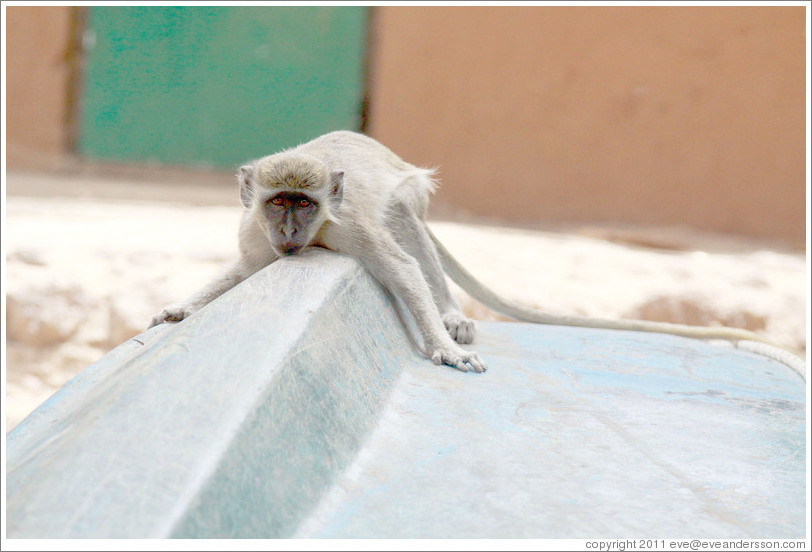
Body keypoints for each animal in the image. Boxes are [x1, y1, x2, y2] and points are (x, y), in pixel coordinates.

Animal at [149, 132, 804, 378]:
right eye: (279, 202)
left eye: (304, 204)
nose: (290, 228)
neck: (311, 233)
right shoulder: (255, 234)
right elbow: (243, 271)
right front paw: (183, 308)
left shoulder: (350, 228)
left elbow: (401, 267)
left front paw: (441, 342)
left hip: (406, 194)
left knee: (404, 220)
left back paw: (450, 313)